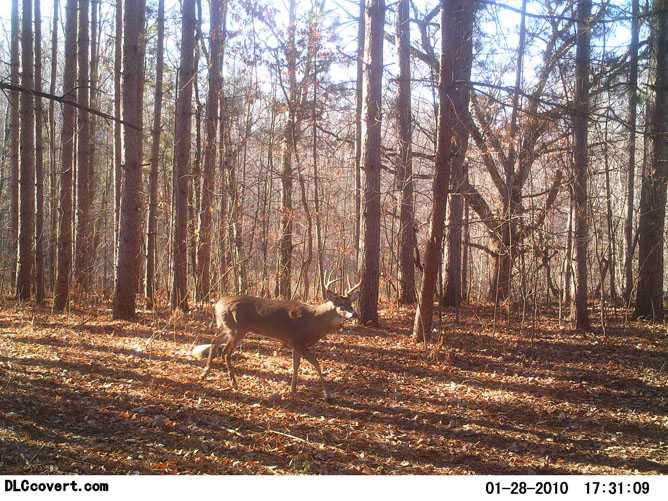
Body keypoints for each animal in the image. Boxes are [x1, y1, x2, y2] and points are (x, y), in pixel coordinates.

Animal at [200, 276, 360, 400]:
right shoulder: (298, 340)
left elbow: (296, 365)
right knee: (225, 352)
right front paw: (327, 394)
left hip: (226, 326)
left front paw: (292, 389)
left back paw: (204, 373)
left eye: (351, 303)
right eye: (340, 304)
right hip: (237, 329)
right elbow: (316, 363)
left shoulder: (294, 343)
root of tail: (217, 305)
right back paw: (234, 383)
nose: (354, 314)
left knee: (214, 341)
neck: (315, 320)